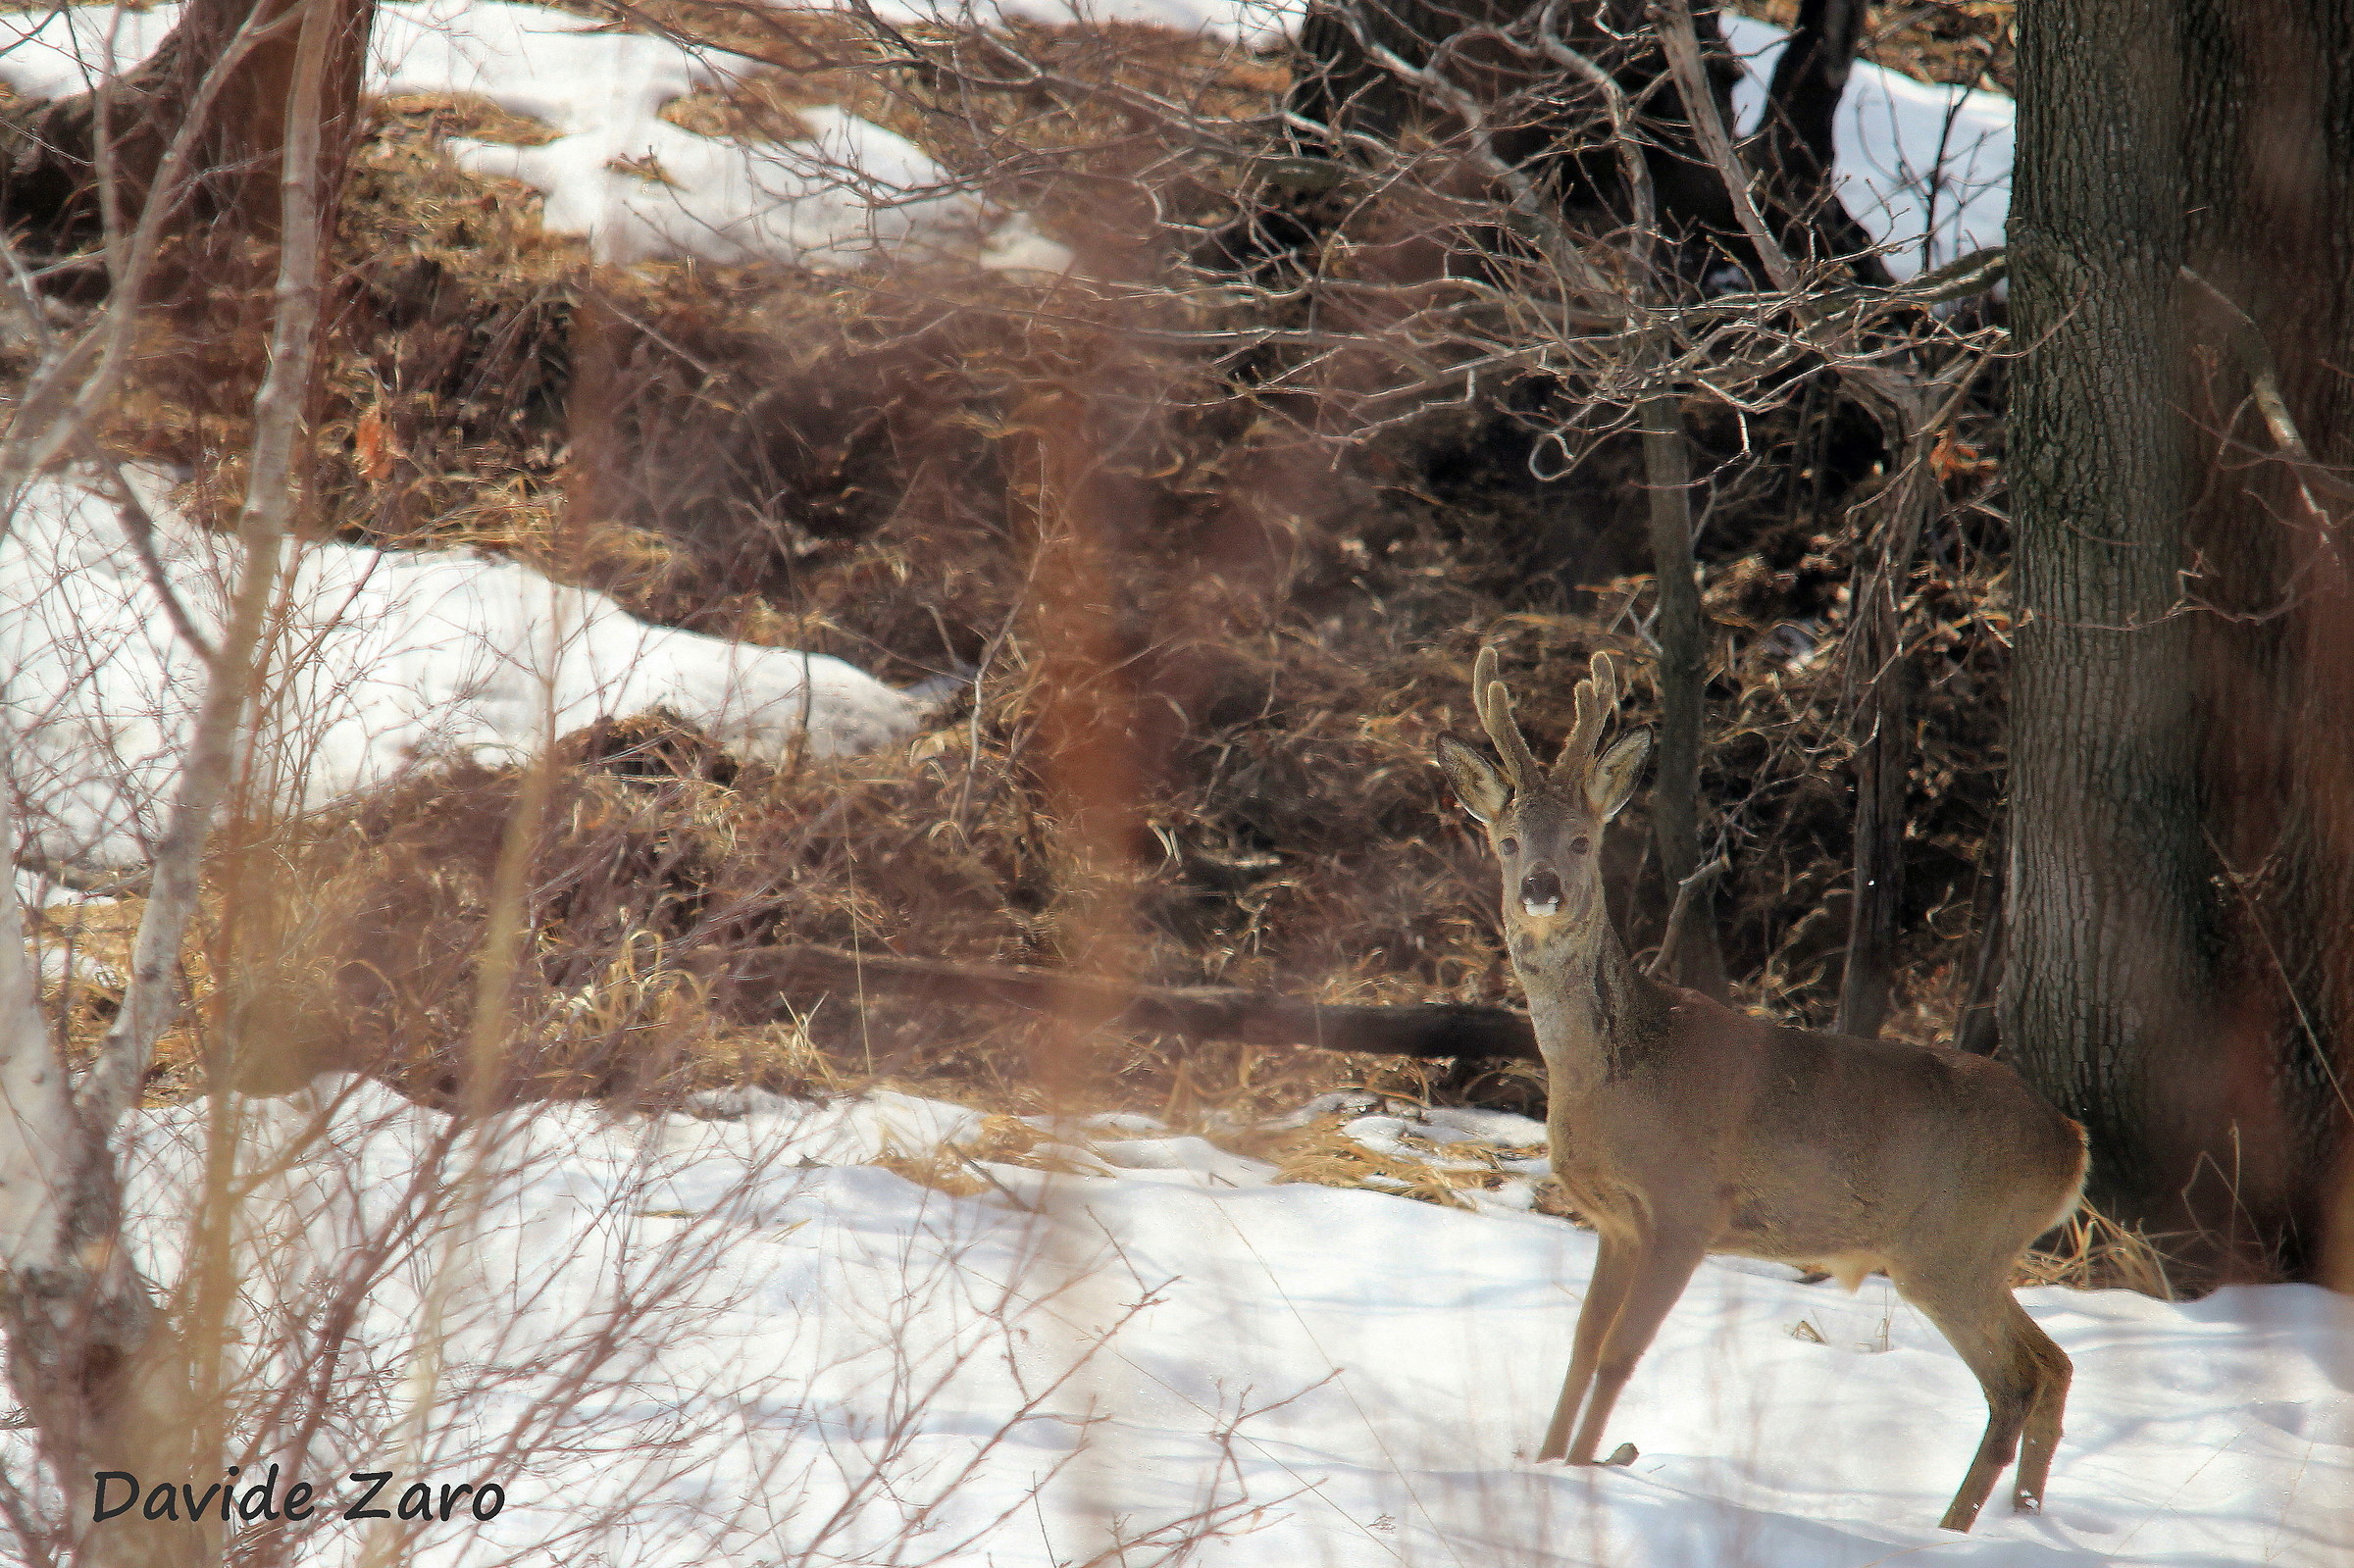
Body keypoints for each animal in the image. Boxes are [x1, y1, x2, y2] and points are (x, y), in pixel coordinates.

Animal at [1437, 647, 2088, 1533]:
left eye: (1581, 838)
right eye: (1505, 840)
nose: (1541, 885)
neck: (1618, 1077)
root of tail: (2071, 1143)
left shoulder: (1687, 1208)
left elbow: (1618, 1356)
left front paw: (1581, 1473)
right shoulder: (1616, 1222)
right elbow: (1579, 1349)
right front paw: (1544, 1463)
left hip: (1951, 1249)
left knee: (2016, 1379)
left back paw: (1954, 1528)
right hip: (1980, 1254)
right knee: (2054, 1362)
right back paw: (2021, 1516)